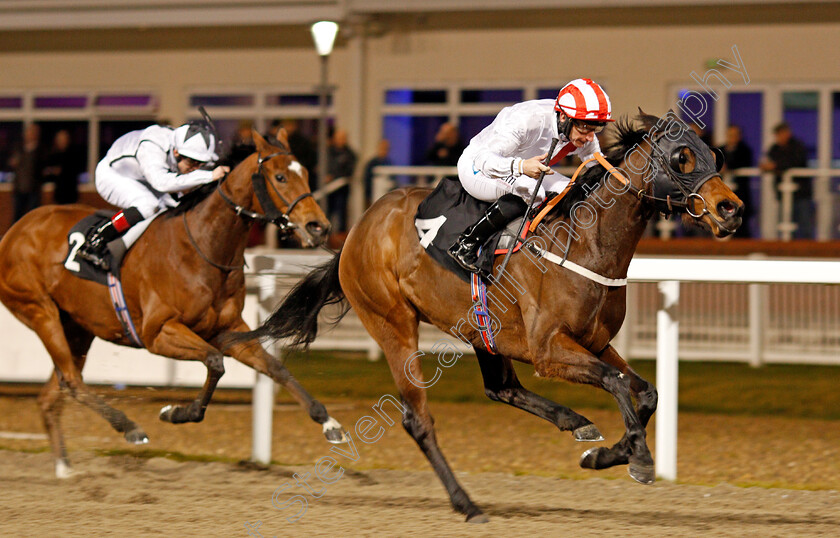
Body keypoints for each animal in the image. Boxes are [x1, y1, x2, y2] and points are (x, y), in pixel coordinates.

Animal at [0, 130, 348, 478]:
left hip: (77, 326)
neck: (203, 247)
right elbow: (215, 362)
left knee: (52, 393)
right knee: (71, 380)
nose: (319, 226)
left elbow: (276, 368)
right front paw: (176, 412)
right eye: (280, 177)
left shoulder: (229, 331)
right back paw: (129, 428)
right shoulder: (158, 333)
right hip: (40, 311)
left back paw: (64, 467)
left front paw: (329, 423)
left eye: (306, 173)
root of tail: (14, 231)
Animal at [236, 113, 740, 520]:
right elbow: (616, 384)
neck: (585, 243)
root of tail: (358, 228)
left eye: (712, 153)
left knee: (502, 388)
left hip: (481, 329)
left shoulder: (594, 342)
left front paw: (606, 455)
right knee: (418, 419)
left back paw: (574, 422)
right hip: (392, 323)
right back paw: (466, 503)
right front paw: (639, 460)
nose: (730, 209)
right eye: (681, 158)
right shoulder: (549, 350)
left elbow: (647, 391)